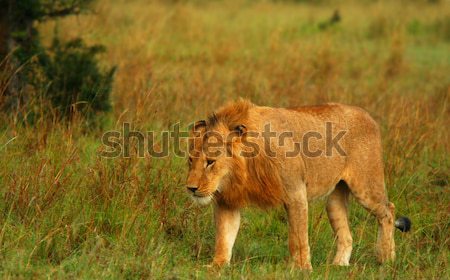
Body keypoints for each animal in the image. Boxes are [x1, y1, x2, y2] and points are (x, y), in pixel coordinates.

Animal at [185, 99, 410, 270]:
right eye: (190, 160)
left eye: (210, 162)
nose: (191, 188)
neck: (242, 170)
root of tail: (366, 114)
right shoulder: (227, 201)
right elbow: (224, 236)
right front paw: (217, 266)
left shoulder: (295, 193)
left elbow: (298, 237)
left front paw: (301, 269)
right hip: (334, 201)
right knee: (345, 233)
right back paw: (339, 265)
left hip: (365, 186)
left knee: (388, 211)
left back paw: (386, 258)